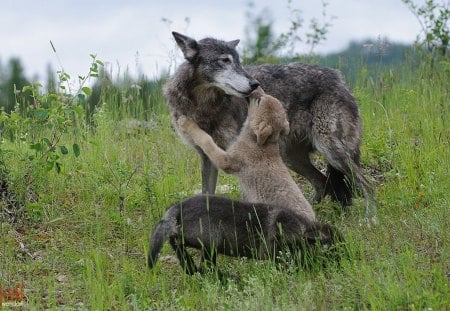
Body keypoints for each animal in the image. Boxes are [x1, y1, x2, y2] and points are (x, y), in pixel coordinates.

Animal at [147, 195, 342, 276]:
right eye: (334, 246)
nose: (345, 259)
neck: (299, 228)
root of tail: (175, 210)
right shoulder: (278, 254)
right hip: (211, 245)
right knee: (205, 268)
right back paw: (229, 278)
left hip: (185, 243)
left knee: (188, 264)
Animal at [178, 86, 314, 223]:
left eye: (259, 100)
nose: (256, 85)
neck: (258, 142)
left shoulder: (227, 161)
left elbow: (207, 140)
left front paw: (186, 123)